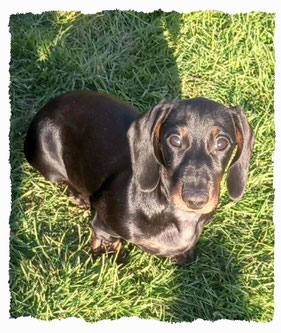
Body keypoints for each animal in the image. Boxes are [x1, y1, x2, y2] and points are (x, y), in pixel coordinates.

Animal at [24, 89, 254, 264]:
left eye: (222, 143)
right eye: (174, 140)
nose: (195, 200)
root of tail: (46, 106)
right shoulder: (102, 224)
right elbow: (105, 240)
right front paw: (109, 257)